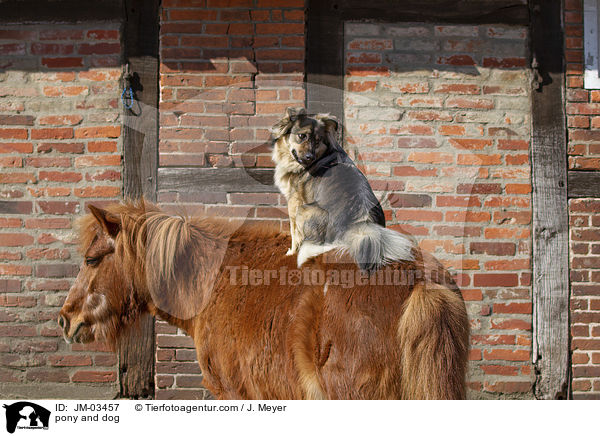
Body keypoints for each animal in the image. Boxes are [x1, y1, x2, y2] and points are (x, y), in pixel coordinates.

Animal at [270, 106, 414, 270]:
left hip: (304, 210)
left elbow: (294, 233)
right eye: (302, 136)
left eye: (317, 141)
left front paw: (291, 253)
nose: (309, 157)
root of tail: (361, 224)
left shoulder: (294, 203)